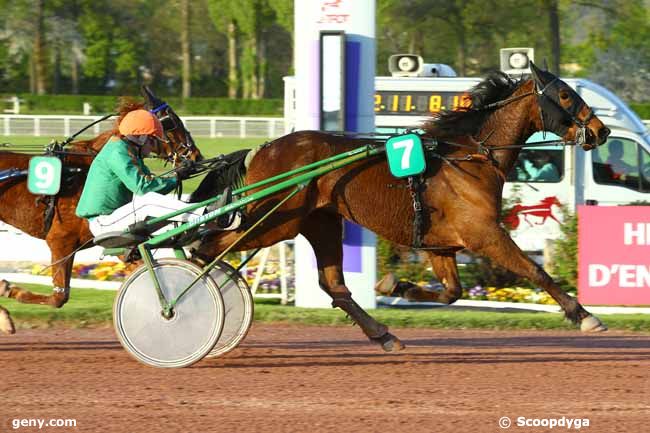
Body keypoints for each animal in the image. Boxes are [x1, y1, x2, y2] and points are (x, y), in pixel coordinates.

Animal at [0, 87, 200, 330]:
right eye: (171, 121)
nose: (196, 155)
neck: (82, 171)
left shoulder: (117, 238)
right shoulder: (61, 240)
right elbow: (59, 297)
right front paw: (9, 293)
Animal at [191, 62, 608, 350]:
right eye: (566, 95)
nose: (601, 130)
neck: (470, 157)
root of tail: (261, 149)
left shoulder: (442, 243)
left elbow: (452, 292)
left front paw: (397, 285)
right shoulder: (484, 234)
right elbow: (537, 272)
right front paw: (584, 316)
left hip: (319, 221)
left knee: (334, 285)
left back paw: (383, 334)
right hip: (277, 221)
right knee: (204, 248)